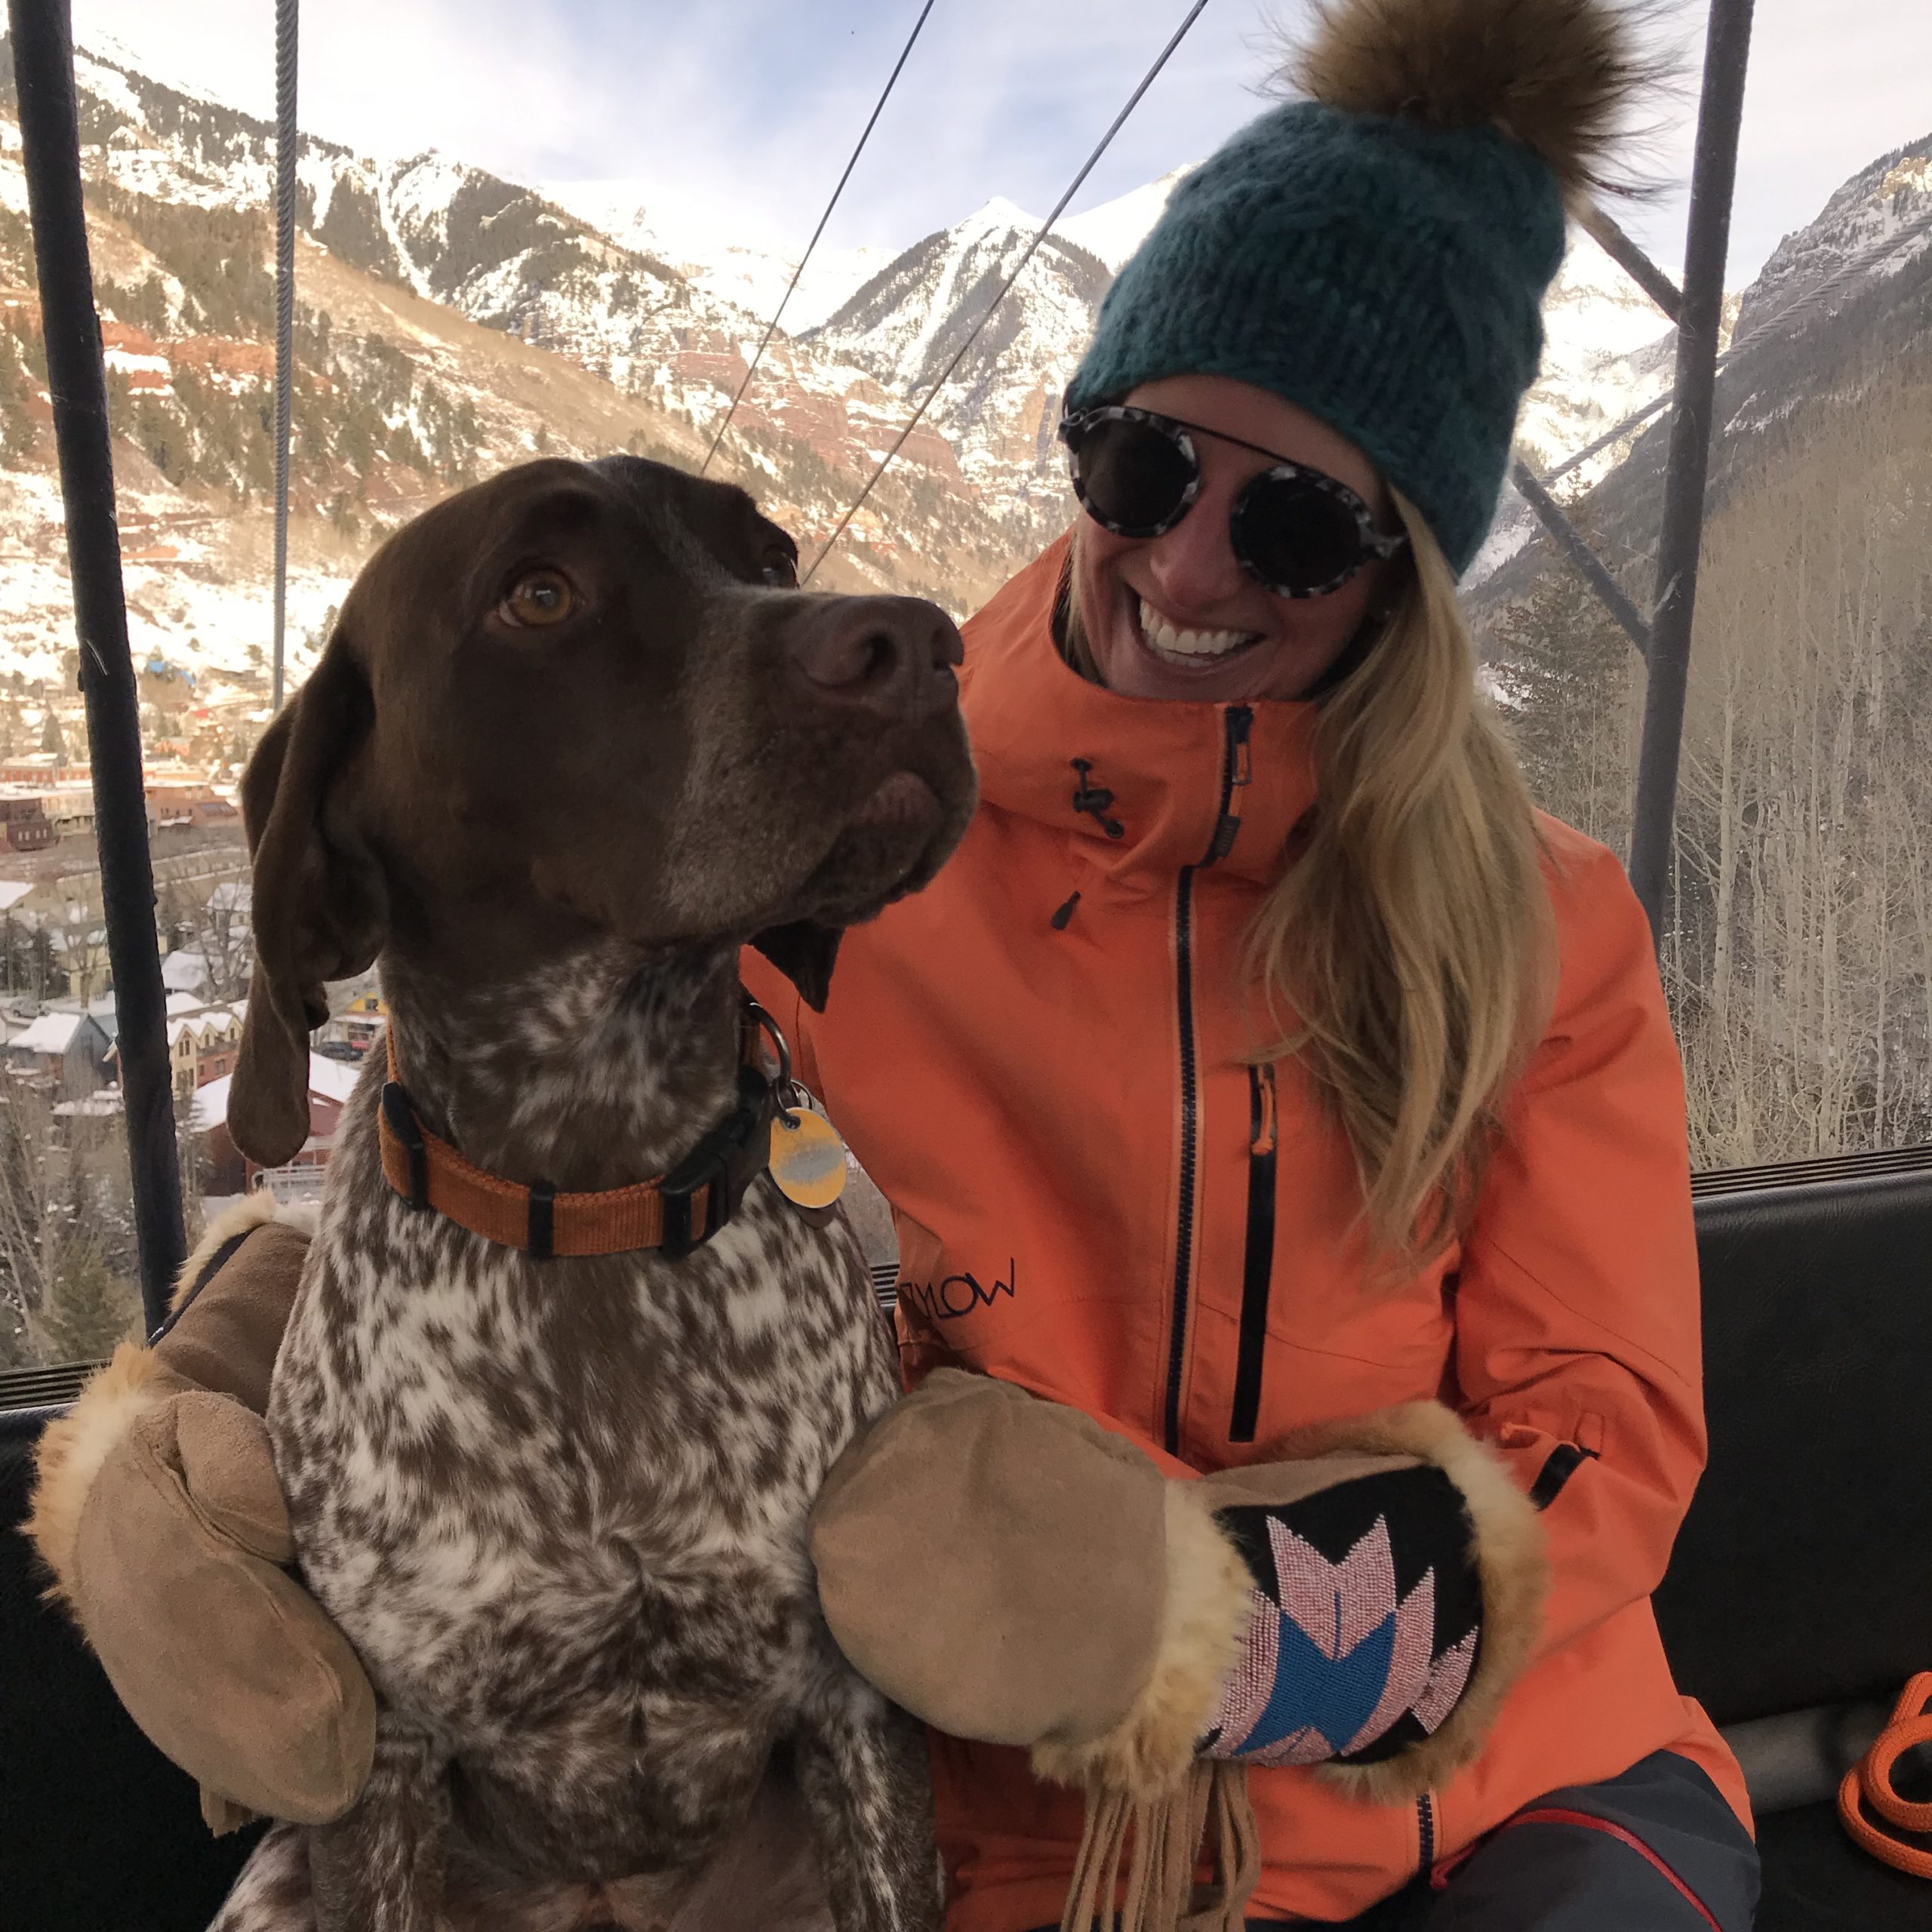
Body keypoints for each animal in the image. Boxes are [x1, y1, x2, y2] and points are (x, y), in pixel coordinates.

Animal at [209, 456, 974, 1932]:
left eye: (771, 555)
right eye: (539, 595)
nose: (918, 644)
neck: (594, 1193)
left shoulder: (851, 1712)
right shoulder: (390, 1759)